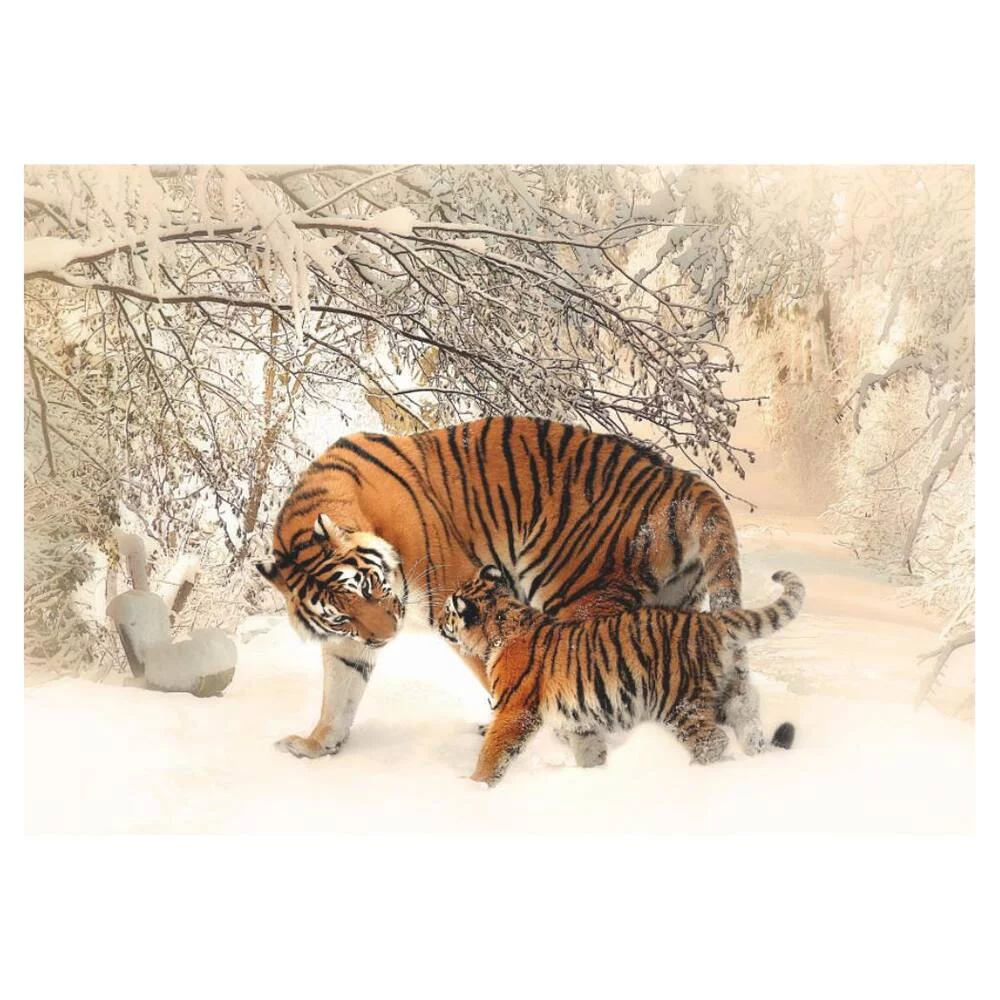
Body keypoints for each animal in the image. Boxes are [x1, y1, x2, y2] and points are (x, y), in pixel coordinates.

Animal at [256, 416, 777, 763]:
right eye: (340, 614)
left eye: (367, 585)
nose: (386, 637)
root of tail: (680, 479)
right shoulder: (348, 642)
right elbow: (339, 692)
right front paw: (316, 745)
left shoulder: (457, 594)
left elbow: (502, 676)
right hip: (672, 605)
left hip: (576, 594)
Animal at [439, 565, 804, 786]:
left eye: (447, 611)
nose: (440, 623)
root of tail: (712, 620)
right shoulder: (579, 721)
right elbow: (589, 750)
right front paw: (594, 776)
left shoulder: (514, 711)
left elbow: (493, 752)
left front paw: (474, 787)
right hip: (733, 693)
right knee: (749, 726)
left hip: (679, 703)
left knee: (713, 741)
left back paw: (694, 773)